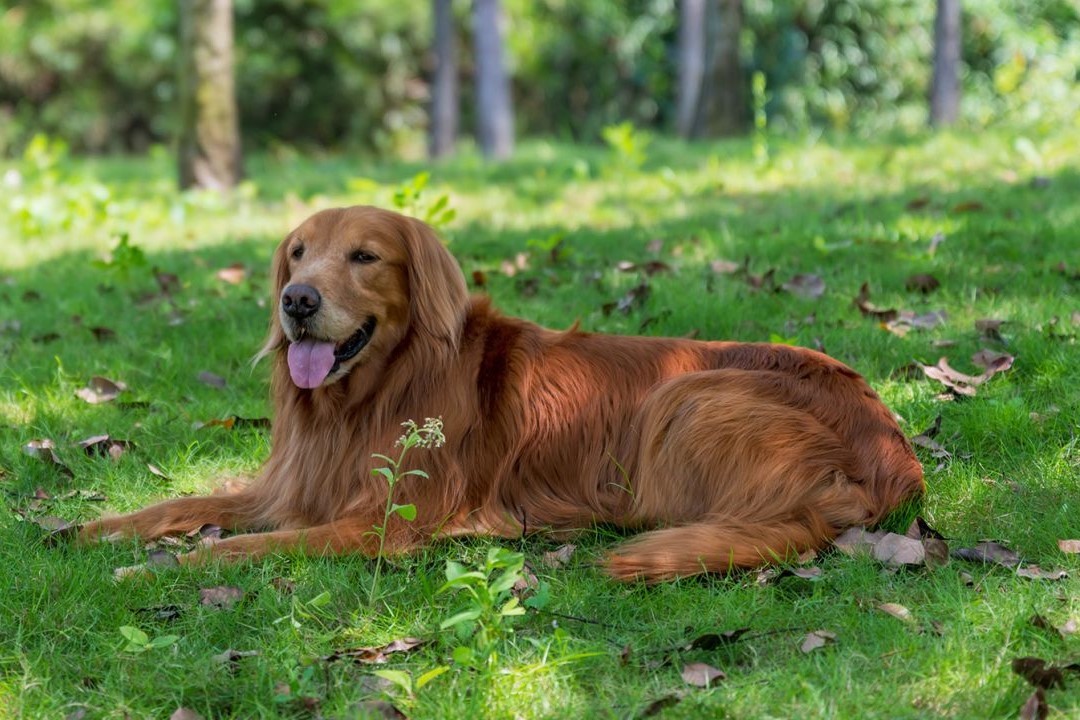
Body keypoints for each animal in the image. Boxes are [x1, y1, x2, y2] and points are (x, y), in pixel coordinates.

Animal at [78, 205, 920, 582]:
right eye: (297, 254)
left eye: (364, 256)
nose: (298, 301)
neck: (371, 396)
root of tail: (892, 457)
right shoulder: (293, 485)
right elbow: (184, 504)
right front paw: (91, 529)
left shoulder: (381, 522)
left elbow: (244, 545)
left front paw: (152, 569)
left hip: (685, 395)